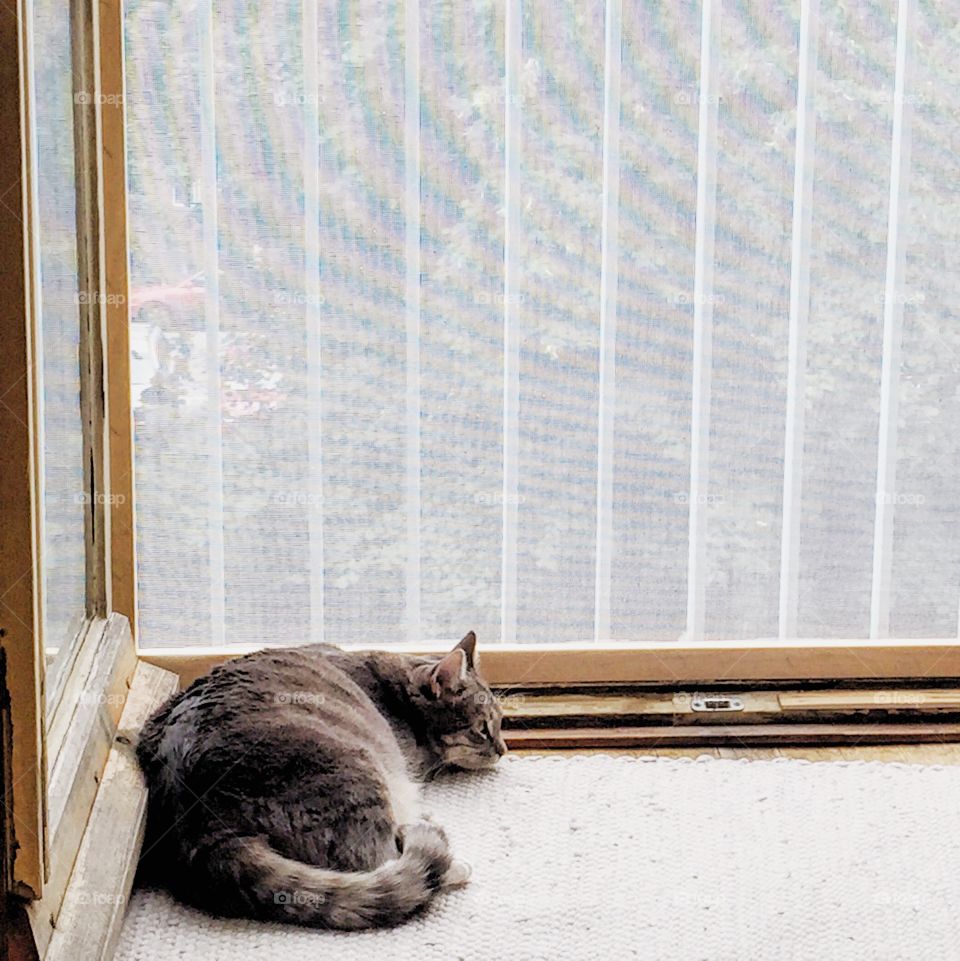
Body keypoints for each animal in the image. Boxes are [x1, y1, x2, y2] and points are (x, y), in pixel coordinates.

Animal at [139, 632, 510, 928]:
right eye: (482, 729)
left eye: (502, 721)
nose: (503, 750)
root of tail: (194, 820)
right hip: (359, 769)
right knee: (382, 858)